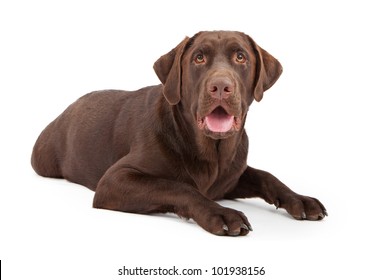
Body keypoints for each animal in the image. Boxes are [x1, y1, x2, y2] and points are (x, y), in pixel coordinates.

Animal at [31, 31, 326, 236]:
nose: (221, 86)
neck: (211, 150)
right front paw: (220, 214)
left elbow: (267, 177)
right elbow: (178, 186)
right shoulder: (114, 180)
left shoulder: (231, 178)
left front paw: (300, 200)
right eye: (199, 57)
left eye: (240, 56)